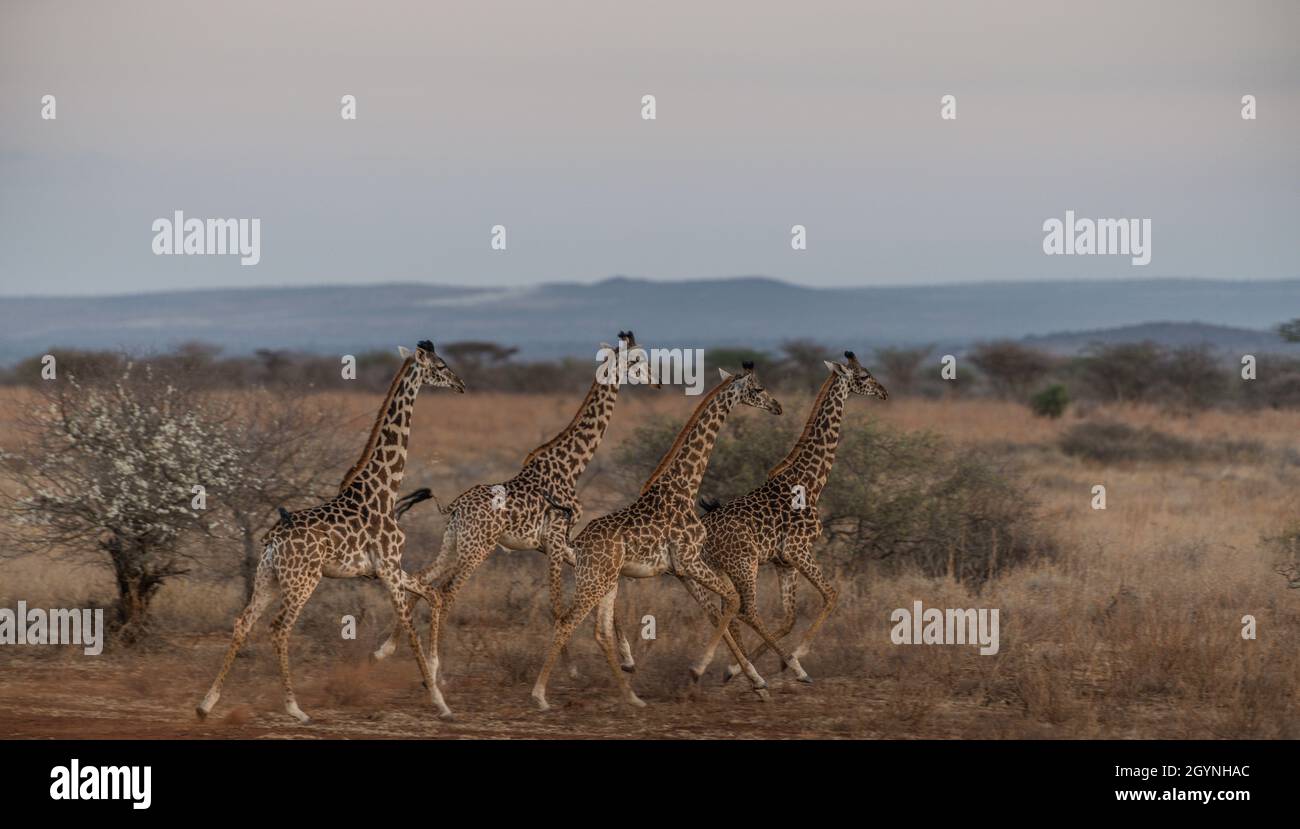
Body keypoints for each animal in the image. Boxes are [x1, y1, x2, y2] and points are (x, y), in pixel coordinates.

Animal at [195, 340, 465, 722]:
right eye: (440, 366)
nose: (461, 384)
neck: (385, 489)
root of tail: (273, 541)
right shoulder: (388, 568)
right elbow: (411, 624)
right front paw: (440, 702)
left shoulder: (389, 568)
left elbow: (434, 596)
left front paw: (430, 672)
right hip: (303, 581)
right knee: (279, 629)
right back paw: (295, 708)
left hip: (268, 578)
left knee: (243, 622)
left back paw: (207, 703)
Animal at [374, 331, 660, 686]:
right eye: (636, 361)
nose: (656, 381)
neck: (573, 465)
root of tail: (453, 506)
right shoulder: (555, 539)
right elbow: (557, 605)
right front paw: (571, 668)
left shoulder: (554, 543)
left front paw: (628, 659)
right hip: (477, 549)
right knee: (446, 591)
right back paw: (436, 671)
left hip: (454, 544)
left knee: (422, 579)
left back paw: (387, 649)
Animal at [525, 363, 800, 717]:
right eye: (758, 389)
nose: (777, 406)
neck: (686, 486)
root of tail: (578, 545)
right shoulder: (689, 560)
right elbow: (733, 602)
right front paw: (703, 670)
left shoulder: (685, 568)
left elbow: (726, 607)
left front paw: (755, 681)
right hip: (595, 580)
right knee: (566, 623)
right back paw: (540, 696)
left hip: (607, 581)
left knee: (600, 632)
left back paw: (632, 696)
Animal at [691, 350, 883, 680]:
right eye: (863, 376)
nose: (883, 392)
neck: (810, 481)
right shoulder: (798, 549)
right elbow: (831, 594)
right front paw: (795, 656)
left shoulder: (784, 562)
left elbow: (790, 618)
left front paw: (756, 665)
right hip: (744, 565)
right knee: (743, 610)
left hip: (721, 570)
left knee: (727, 610)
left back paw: (738, 668)